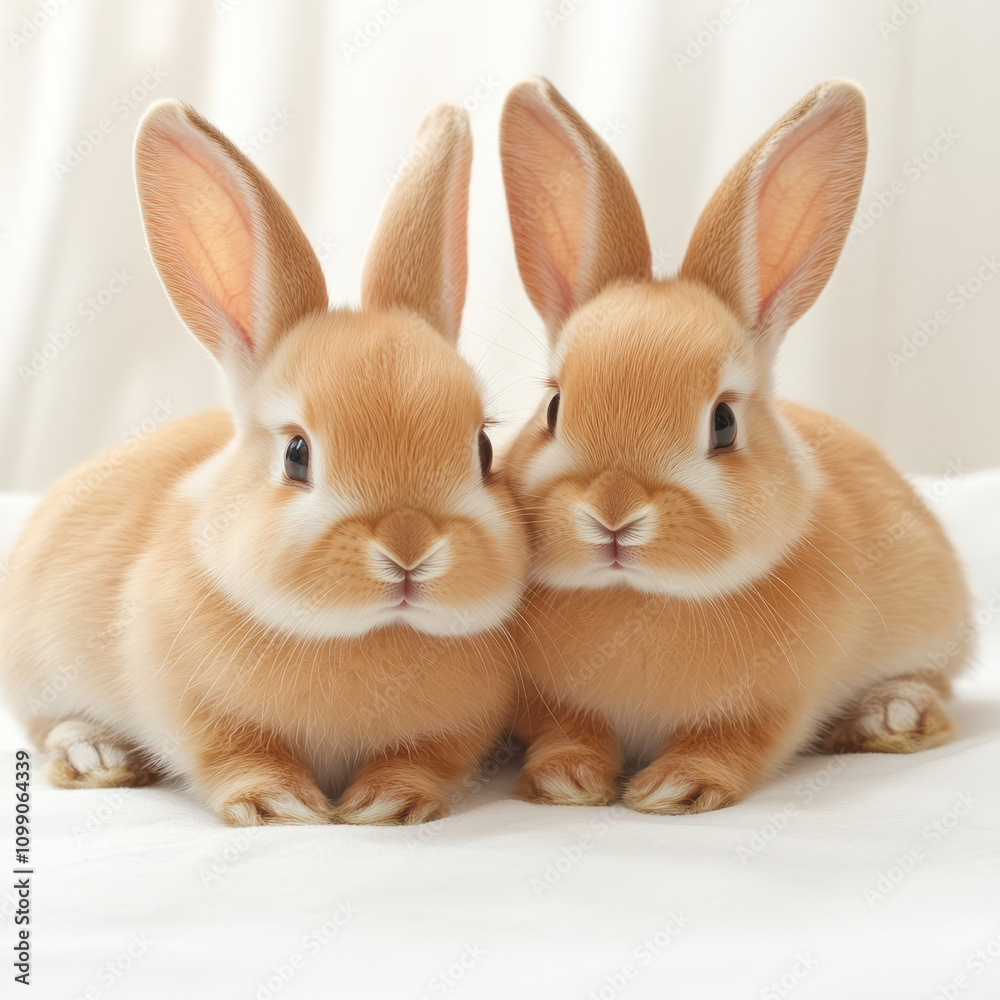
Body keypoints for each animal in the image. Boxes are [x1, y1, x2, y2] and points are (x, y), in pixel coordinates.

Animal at [0, 99, 528, 826]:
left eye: (482, 448)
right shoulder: (196, 714)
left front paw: (387, 803)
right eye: (296, 454)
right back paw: (97, 755)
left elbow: (422, 762)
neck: (362, 634)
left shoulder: (453, 733)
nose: (409, 547)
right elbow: (238, 758)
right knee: (51, 725)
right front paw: (281, 805)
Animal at [497, 77, 972, 814]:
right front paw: (563, 781)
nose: (613, 513)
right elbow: (568, 732)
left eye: (723, 423)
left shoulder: (774, 706)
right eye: (553, 408)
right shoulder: (552, 702)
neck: (643, 596)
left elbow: (732, 745)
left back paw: (892, 717)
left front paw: (675, 787)